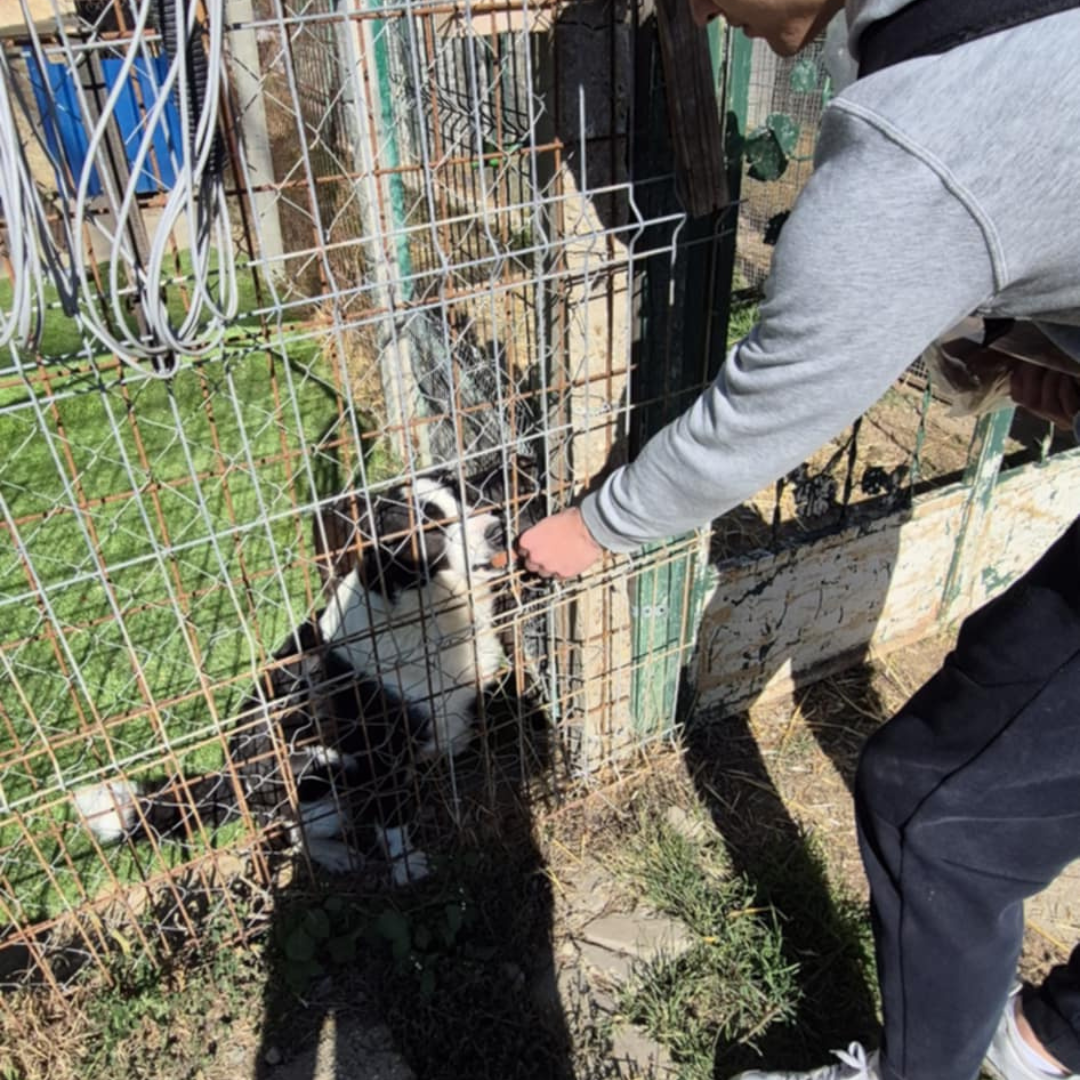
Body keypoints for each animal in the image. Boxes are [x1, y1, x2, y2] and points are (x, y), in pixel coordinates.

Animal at [74, 465, 541, 886]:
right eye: (431, 527)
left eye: (472, 501)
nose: (498, 530)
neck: (429, 614)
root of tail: (230, 779)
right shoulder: (375, 754)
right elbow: (391, 820)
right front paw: (406, 866)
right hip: (316, 767)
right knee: (294, 830)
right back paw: (337, 855)